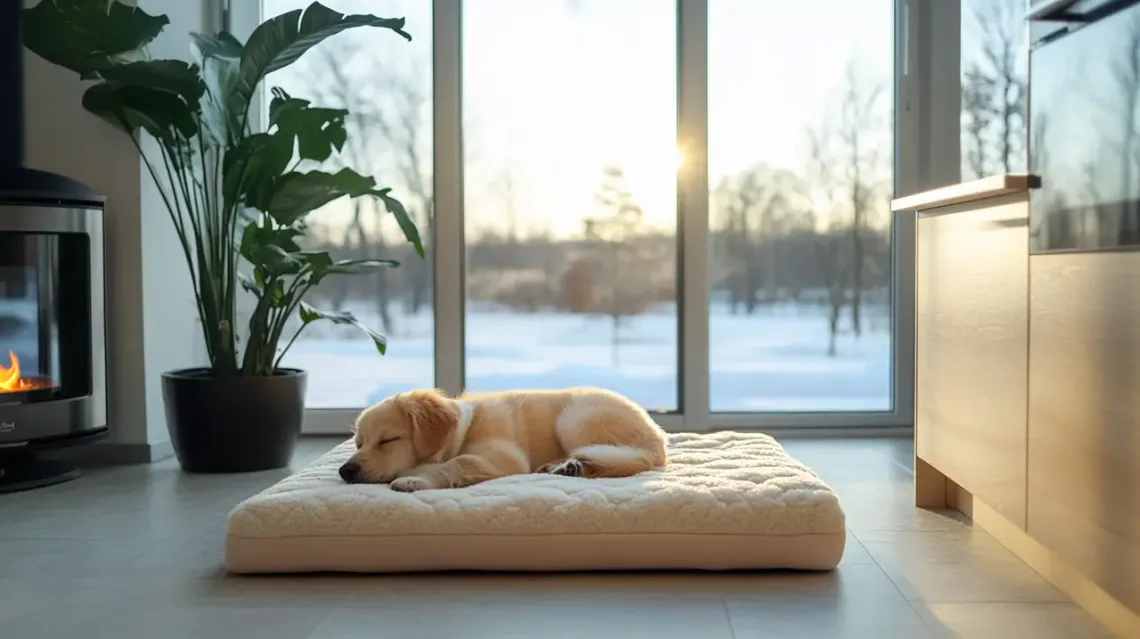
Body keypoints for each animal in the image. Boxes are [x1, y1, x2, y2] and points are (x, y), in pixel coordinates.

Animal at [342, 387, 670, 489]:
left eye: (387, 440)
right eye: (358, 443)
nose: (345, 471)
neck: (464, 429)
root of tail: (659, 442)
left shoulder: (504, 456)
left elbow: (457, 463)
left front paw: (415, 479)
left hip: (573, 418)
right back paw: (564, 467)